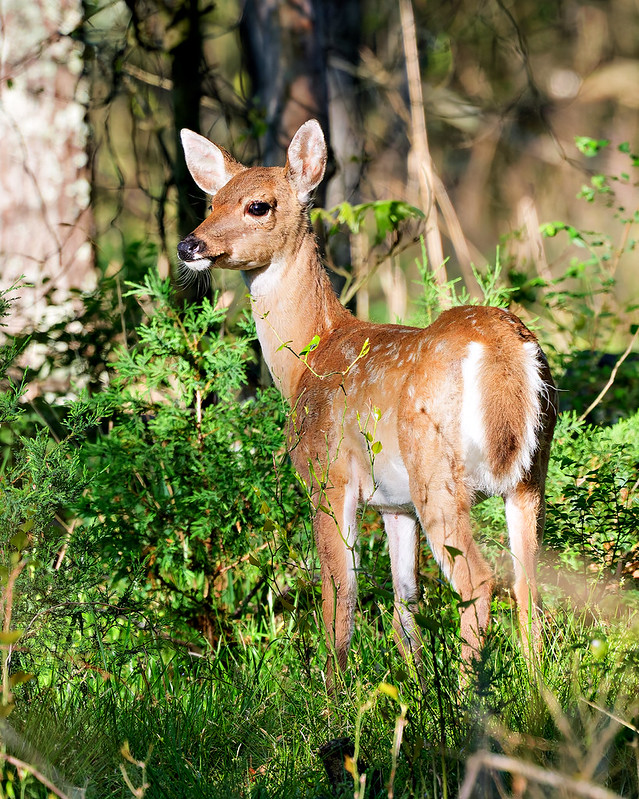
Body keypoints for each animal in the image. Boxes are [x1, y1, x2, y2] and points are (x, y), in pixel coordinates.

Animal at [177, 120, 557, 689]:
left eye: (258, 205)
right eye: (210, 201)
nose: (190, 244)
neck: (309, 356)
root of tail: (505, 348)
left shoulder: (328, 476)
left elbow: (340, 598)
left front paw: (334, 694)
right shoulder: (393, 504)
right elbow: (404, 605)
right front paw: (415, 686)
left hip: (436, 470)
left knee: (479, 580)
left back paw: (468, 695)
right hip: (530, 475)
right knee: (526, 583)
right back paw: (536, 696)